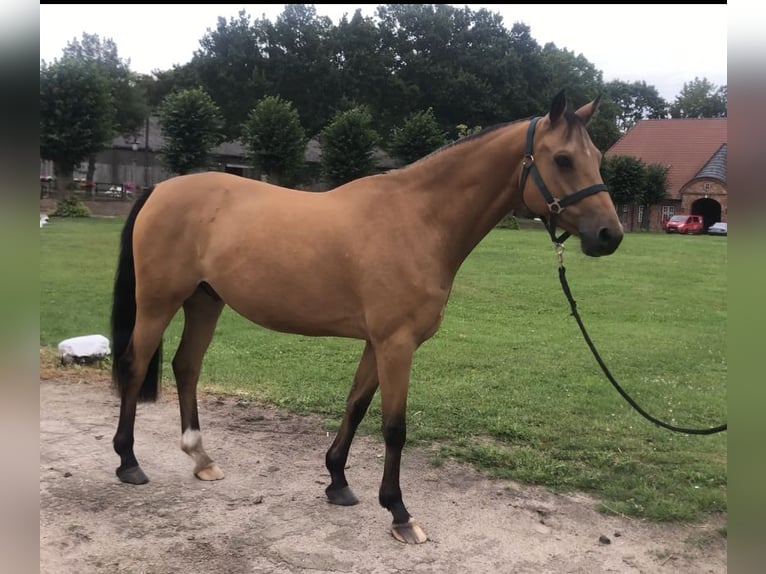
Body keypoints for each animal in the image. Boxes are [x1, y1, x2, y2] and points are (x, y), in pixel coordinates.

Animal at [109, 90, 624, 544]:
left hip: (204, 301)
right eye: (562, 159)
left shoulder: (378, 342)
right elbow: (394, 428)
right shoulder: (397, 344)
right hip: (158, 302)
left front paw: (337, 481)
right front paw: (399, 512)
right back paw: (128, 461)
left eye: (597, 155)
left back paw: (201, 459)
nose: (610, 235)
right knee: (135, 366)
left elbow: (356, 405)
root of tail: (160, 188)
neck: (420, 219)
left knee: (186, 366)